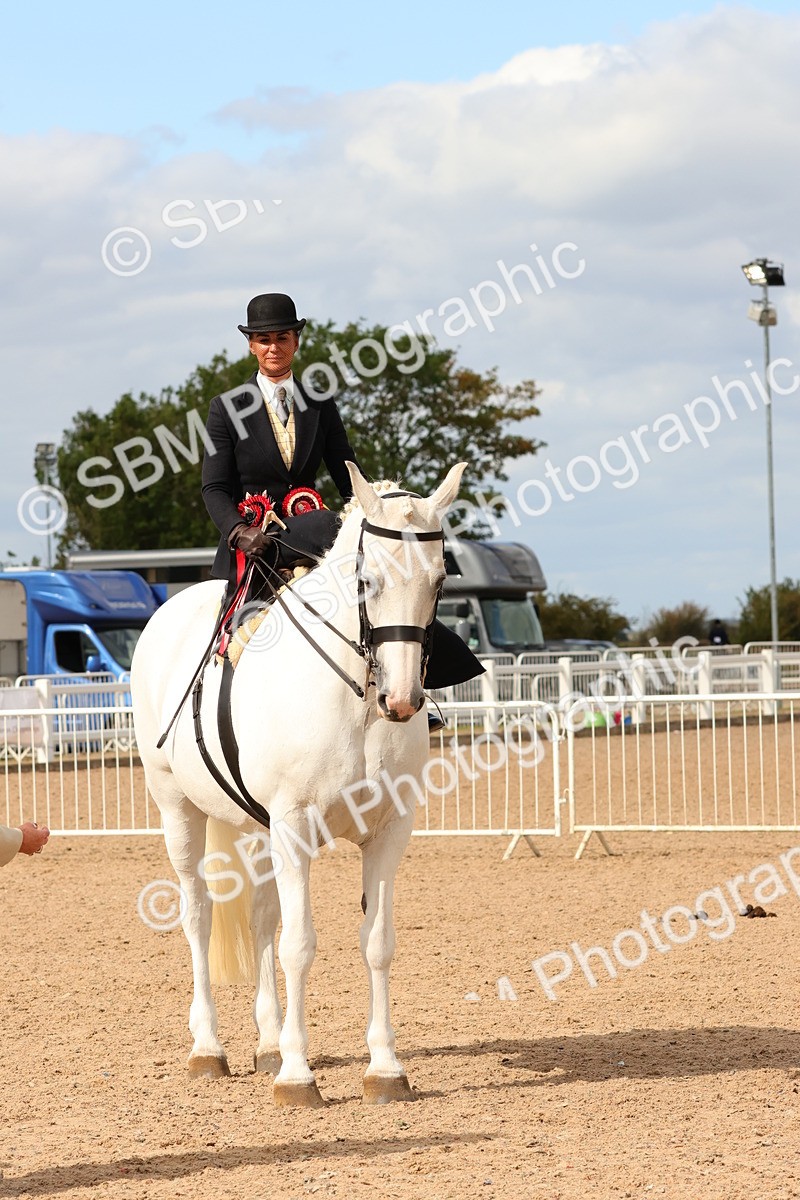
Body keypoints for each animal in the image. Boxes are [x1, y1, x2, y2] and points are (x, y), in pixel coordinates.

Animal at [130, 461, 465, 1106]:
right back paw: (208, 1049)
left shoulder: (389, 832)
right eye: (366, 582)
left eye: (438, 581)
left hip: (256, 829)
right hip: (177, 809)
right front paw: (297, 1074)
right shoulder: (292, 828)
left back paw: (265, 1042)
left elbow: (376, 942)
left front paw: (384, 1068)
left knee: (261, 916)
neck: (355, 699)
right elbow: (300, 945)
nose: (402, 700)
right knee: (198, 915)